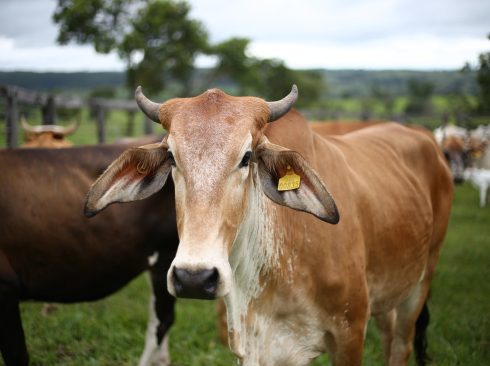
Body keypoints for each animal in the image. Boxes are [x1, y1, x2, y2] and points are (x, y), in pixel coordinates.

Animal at [86, 86, 454, 366]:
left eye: (247, 157)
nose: (194, 277)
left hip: (421, 282)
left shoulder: (350, 333)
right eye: (173, 157)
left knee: (401, 344)